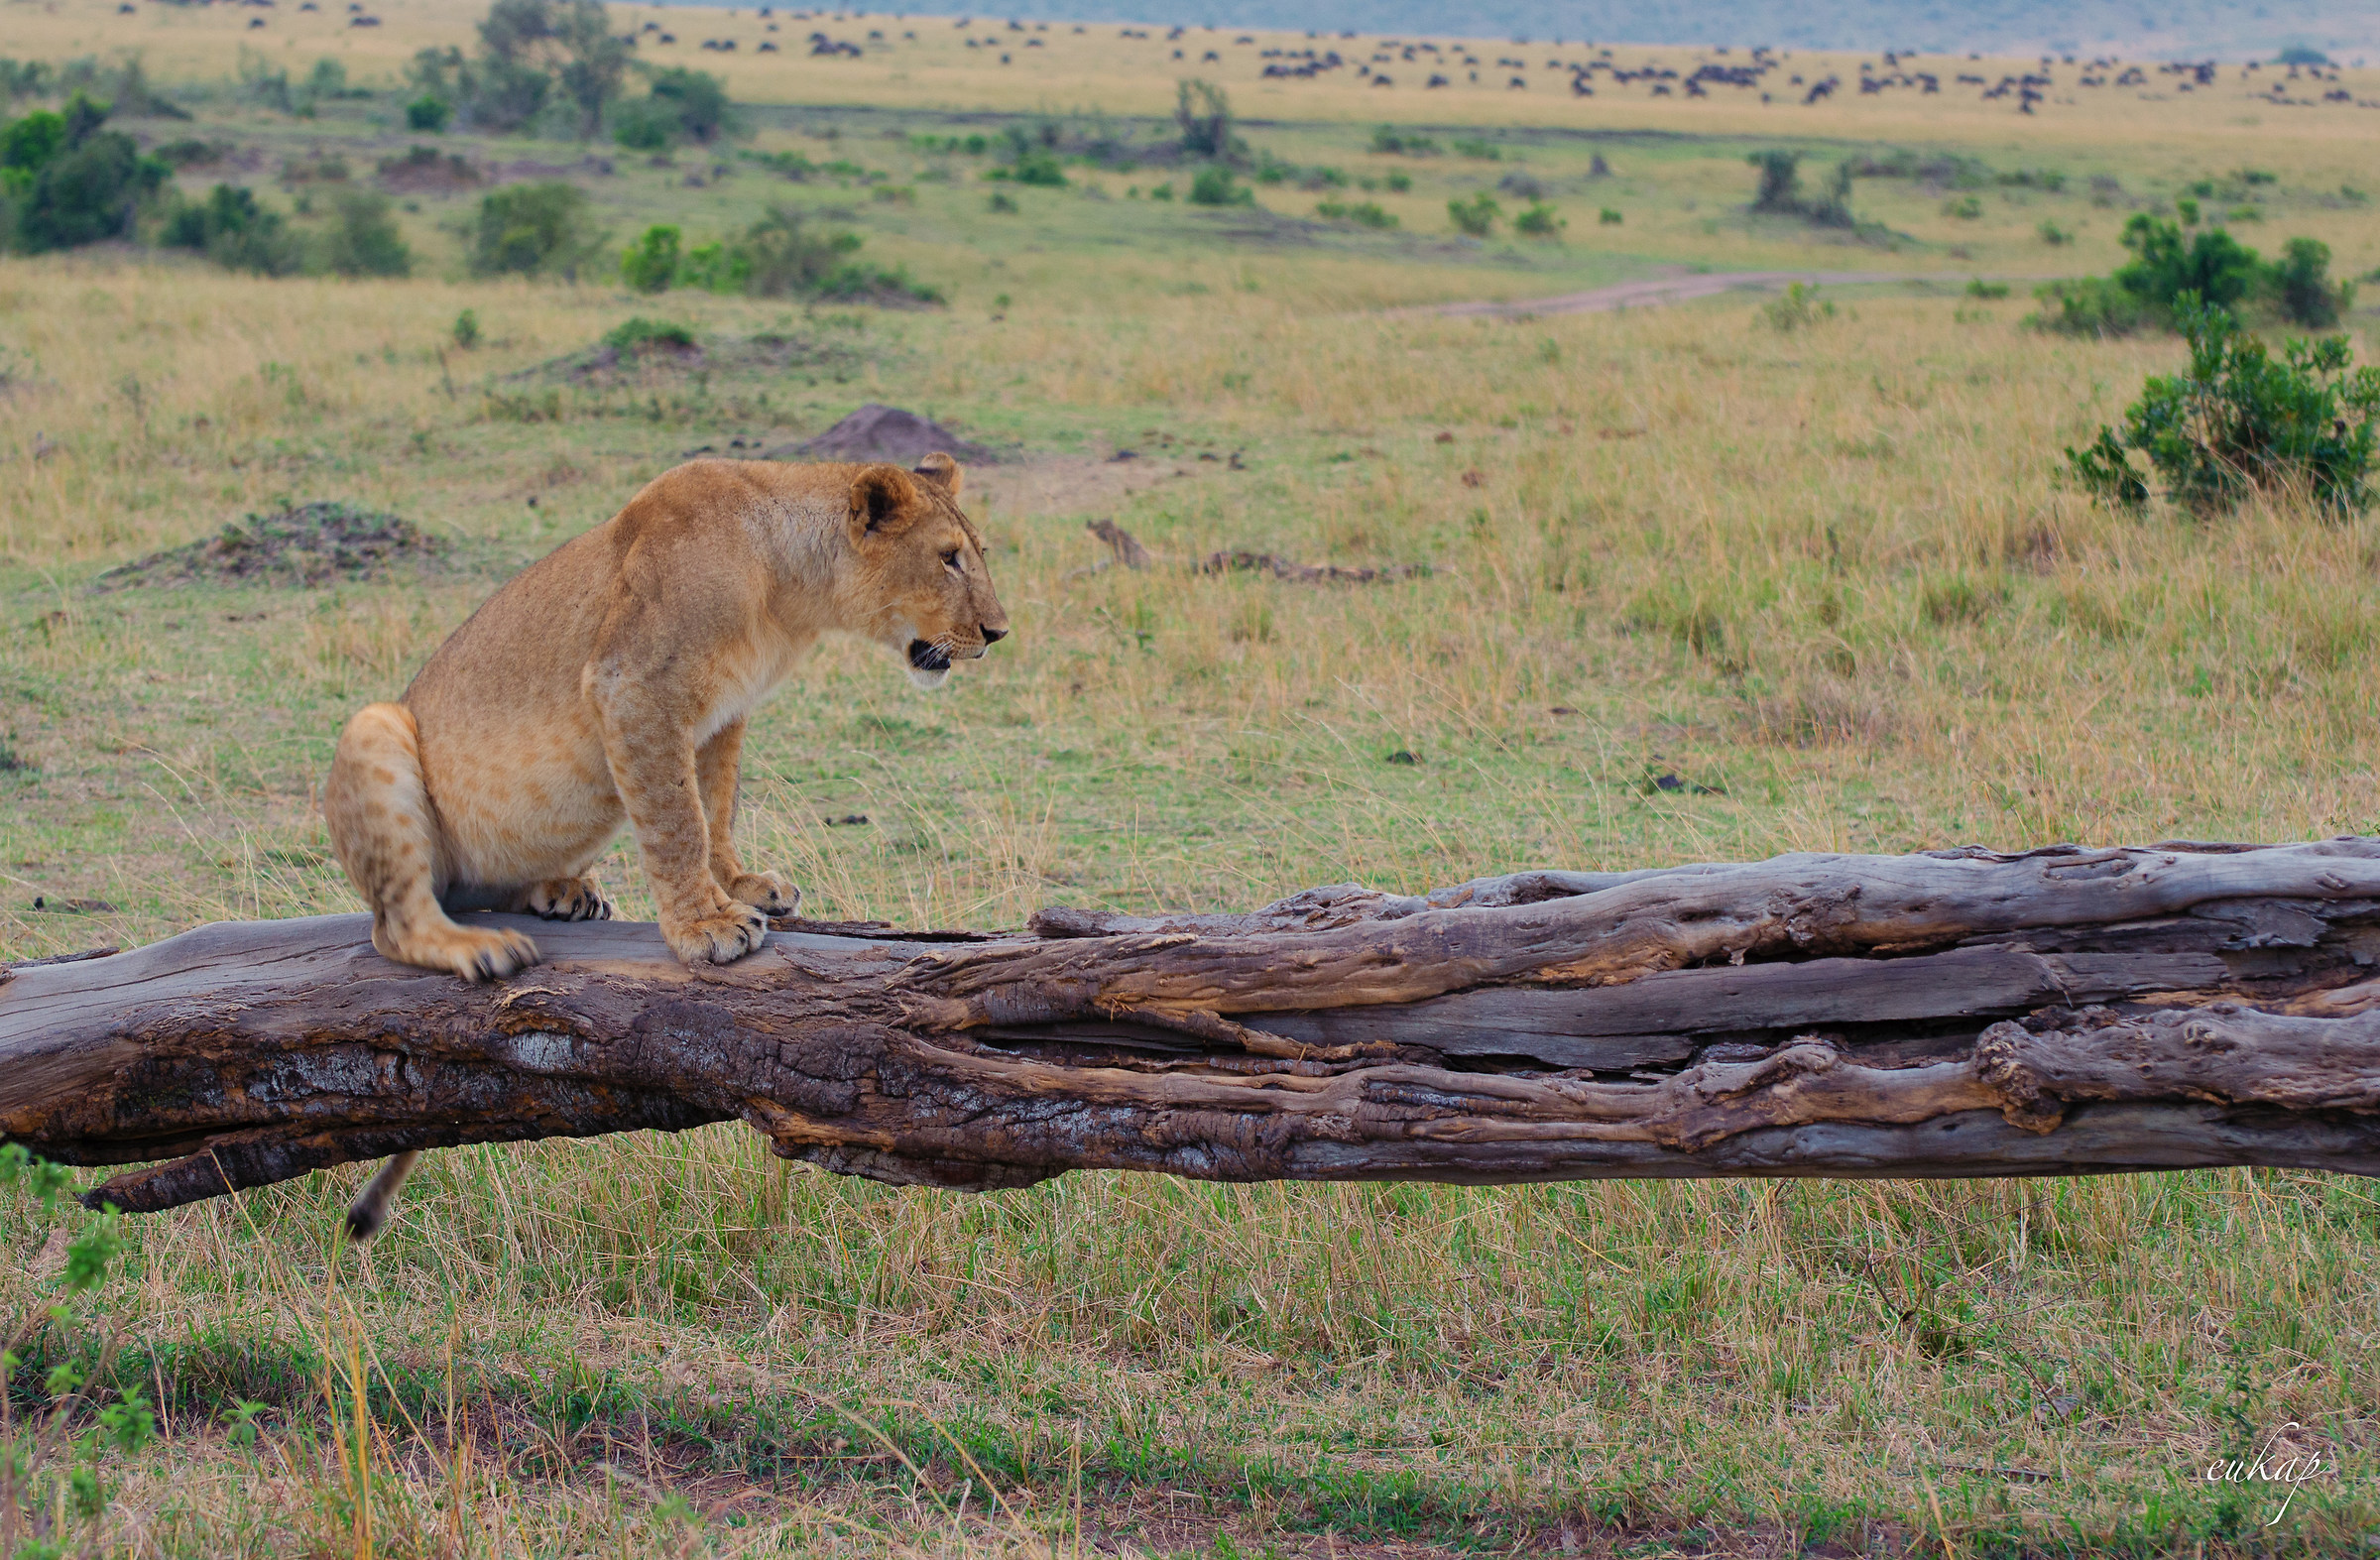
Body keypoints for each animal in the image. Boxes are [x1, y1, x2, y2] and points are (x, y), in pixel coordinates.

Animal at [323, 452, 1007, 1240]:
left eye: (977, 552)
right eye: (948, 558)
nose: (998, 631)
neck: (789, 589)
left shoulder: (725, 710)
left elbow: (716, 805)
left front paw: (742, 886)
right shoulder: (636, 686)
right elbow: (676, 816)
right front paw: (706, 927)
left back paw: (562, 892)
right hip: (374, 725)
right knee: (394, 924)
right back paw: (480, 946)